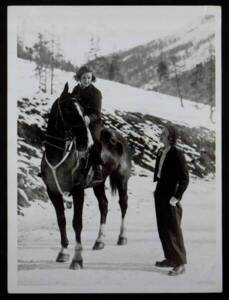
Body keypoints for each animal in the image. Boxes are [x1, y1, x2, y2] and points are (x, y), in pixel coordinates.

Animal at [40, 82, 131, 270]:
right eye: (68, 109)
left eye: (82, 110)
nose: (86, 141)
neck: (58, 155)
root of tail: (120, 138)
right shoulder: (53, 192)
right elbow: (61, 220)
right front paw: (63, 252)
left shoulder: (77, 191)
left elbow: (77, 223)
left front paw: (77, 259)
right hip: (98, 183)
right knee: (104, 205)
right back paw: (99, 241)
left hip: (121, 180)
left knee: (123, 204)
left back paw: (122, 237)